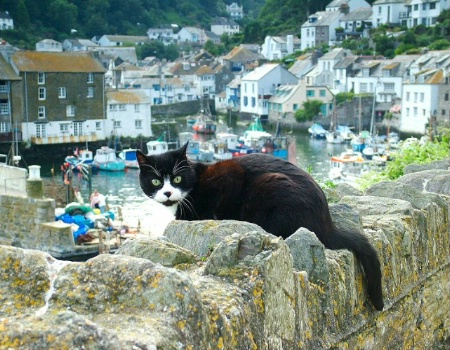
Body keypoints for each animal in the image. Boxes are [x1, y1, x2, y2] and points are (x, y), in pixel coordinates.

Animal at [136, 144, 384, 310]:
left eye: (177, 179)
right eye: (156, 181)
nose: (168, 193)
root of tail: (326, 222)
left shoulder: (228, 176)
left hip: (271, 185)